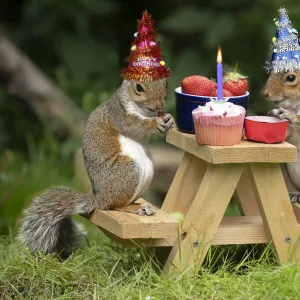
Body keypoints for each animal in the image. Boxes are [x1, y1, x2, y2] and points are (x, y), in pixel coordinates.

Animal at [17, 9, 175, 258]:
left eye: (166, 83)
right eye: (139, 87)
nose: (159, 106)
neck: (139, 108)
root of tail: (97, 196)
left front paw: (168, 119)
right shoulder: (117, 114)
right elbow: (133, 126)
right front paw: (154, 123)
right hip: (127, 171)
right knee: (114, 205)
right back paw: (132, 208)